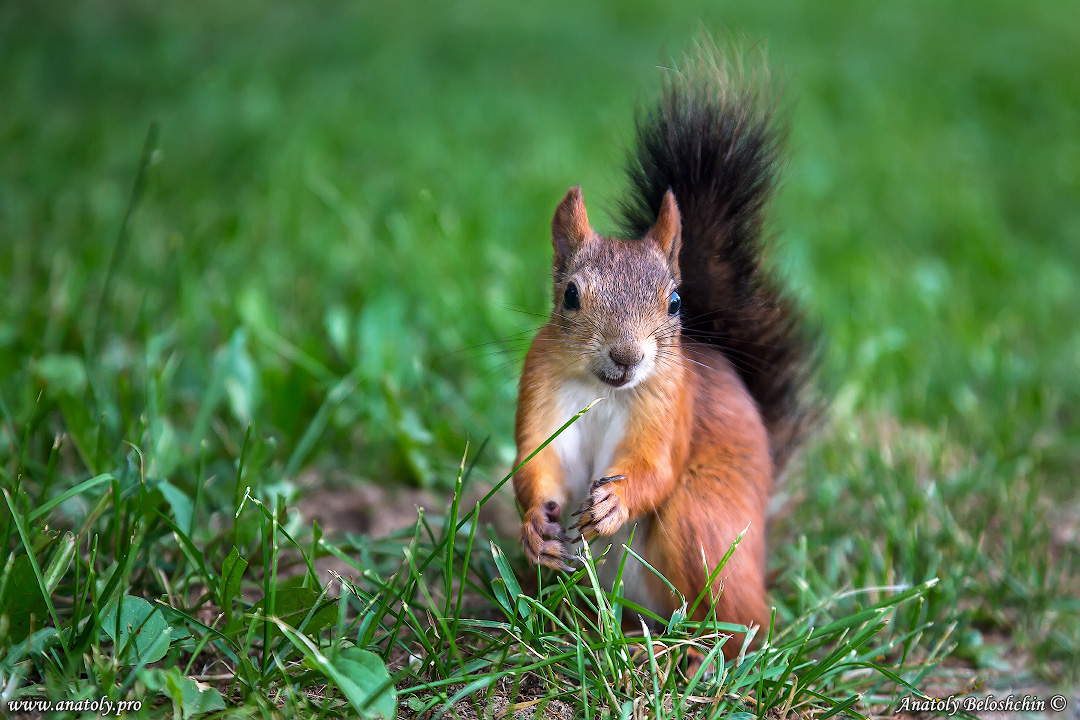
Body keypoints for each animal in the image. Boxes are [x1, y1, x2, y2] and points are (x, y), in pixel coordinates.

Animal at [512, 46, 817, 657]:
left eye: (676, 302)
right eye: (570, 295)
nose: (626, 357)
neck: (606, 391)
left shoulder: (673, 403)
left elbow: (656, 468)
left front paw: (615, 504)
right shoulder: (541, 386)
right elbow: (535, 461)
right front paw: (534, 524)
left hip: (702, 524)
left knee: (739, 623)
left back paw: (698, 655)